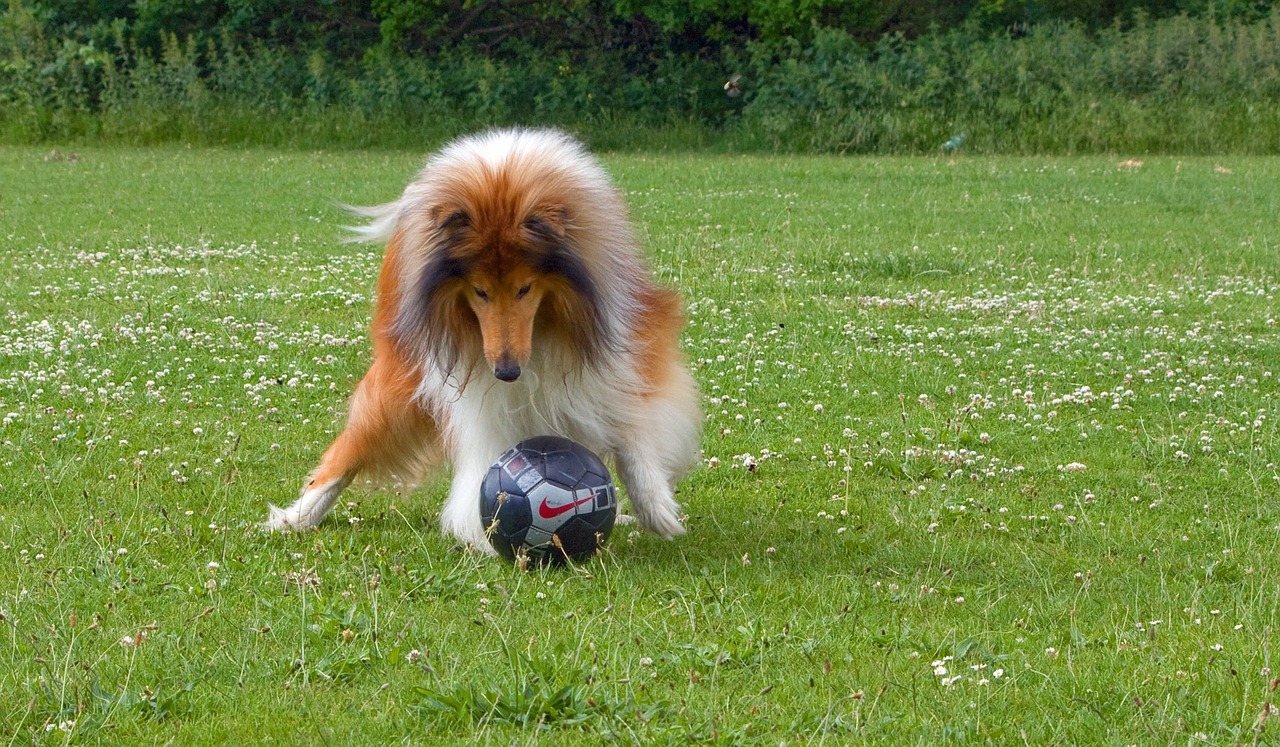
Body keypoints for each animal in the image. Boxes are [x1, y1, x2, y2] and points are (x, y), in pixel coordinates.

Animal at [262, 126, 701, 547]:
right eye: (479, 291)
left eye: (525, 288)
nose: (507, 372)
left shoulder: (625, 342)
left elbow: (631, 420)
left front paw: (654, 504)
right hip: (402, 372)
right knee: (353, 445)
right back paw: (299, 515)